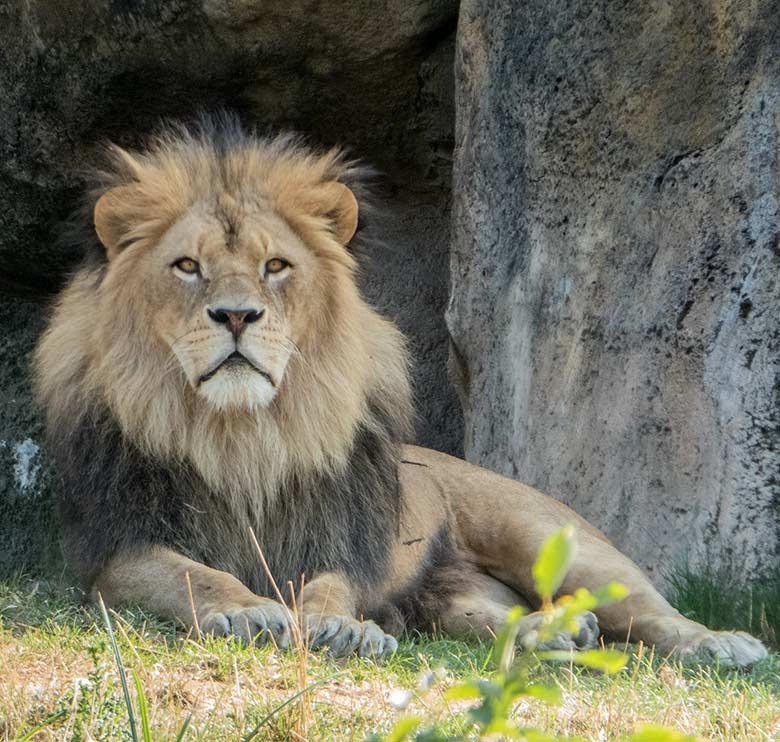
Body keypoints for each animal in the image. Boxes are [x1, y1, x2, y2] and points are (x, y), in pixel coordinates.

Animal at [33, 116, 764, 668]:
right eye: (187, 266)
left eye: (276, 266)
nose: (237, 315)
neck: (243, 436)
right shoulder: (117, 544)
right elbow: (194, 573)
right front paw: (248, 612)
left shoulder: (345, 535)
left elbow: (330, 586)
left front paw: (343, 629)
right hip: (449, 594)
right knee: (490, 616)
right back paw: (551, 633)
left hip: (554, 540)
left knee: (645, 608)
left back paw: (721, 644)